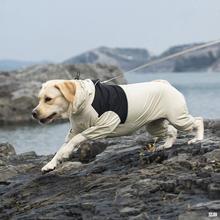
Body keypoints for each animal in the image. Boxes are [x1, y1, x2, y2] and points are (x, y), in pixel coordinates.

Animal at [31, 78, 204, 173]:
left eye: (48, 99)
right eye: (39, 98)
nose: (33, 113)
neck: (83, 99)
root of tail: (166, 84)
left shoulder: (103, 126)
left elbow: (76, 140)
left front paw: (67, 152)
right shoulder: (74, 130)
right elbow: (61, 148)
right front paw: (50, 164)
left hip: (178, 118)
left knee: (198, 120)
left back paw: (198, 139)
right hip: (154, 125)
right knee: (172, 131)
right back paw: (167, 145)